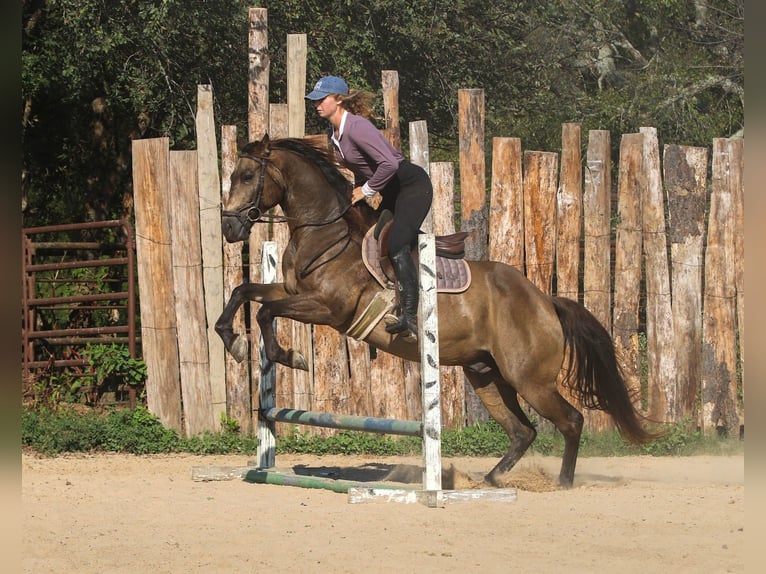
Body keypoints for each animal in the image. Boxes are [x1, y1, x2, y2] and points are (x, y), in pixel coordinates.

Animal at [215, 134, 660, 488]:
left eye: (247, 177)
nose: (229, 228)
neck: (326, 232)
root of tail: (545, 300)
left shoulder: (327, 308)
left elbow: (266, 314)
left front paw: (288, 356)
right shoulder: (291, 290)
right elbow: (243, 293)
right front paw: (234, 342)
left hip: (529, 379)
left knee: (570, 420)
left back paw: (563, 483)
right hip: (487, 376)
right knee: (523, 431)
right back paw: (489, 480)